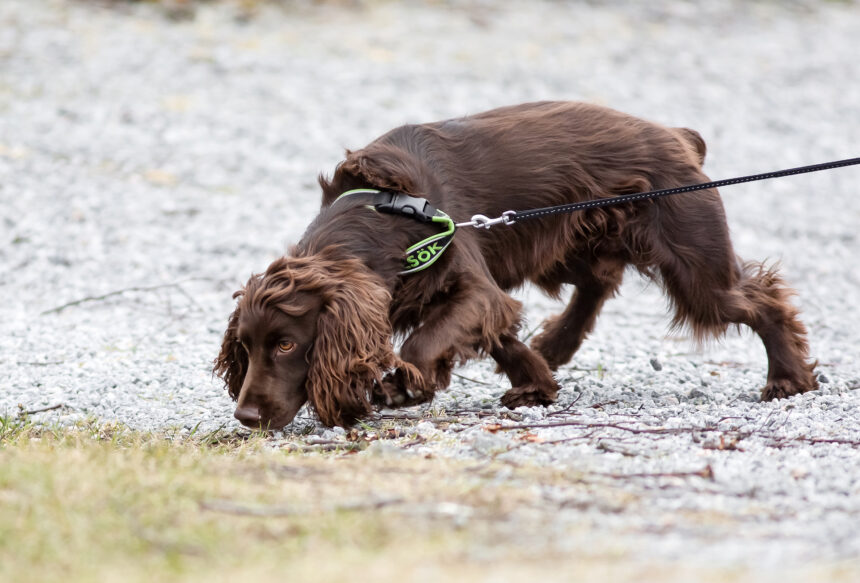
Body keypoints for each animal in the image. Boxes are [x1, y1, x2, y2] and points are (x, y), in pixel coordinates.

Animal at [215, 101, 820, 428]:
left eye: (287, 344)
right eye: (246, 346)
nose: (246, 417)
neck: (381, 213)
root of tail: (677, 136)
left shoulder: (469, 281)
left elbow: (431, 337)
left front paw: (404, 385)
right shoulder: (470, 289)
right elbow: (501, 333)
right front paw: (535, 381)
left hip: (692, 263)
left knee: (760, 300)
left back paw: (788, 378)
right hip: (571, 243)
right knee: (598, 283)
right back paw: (556, 344)